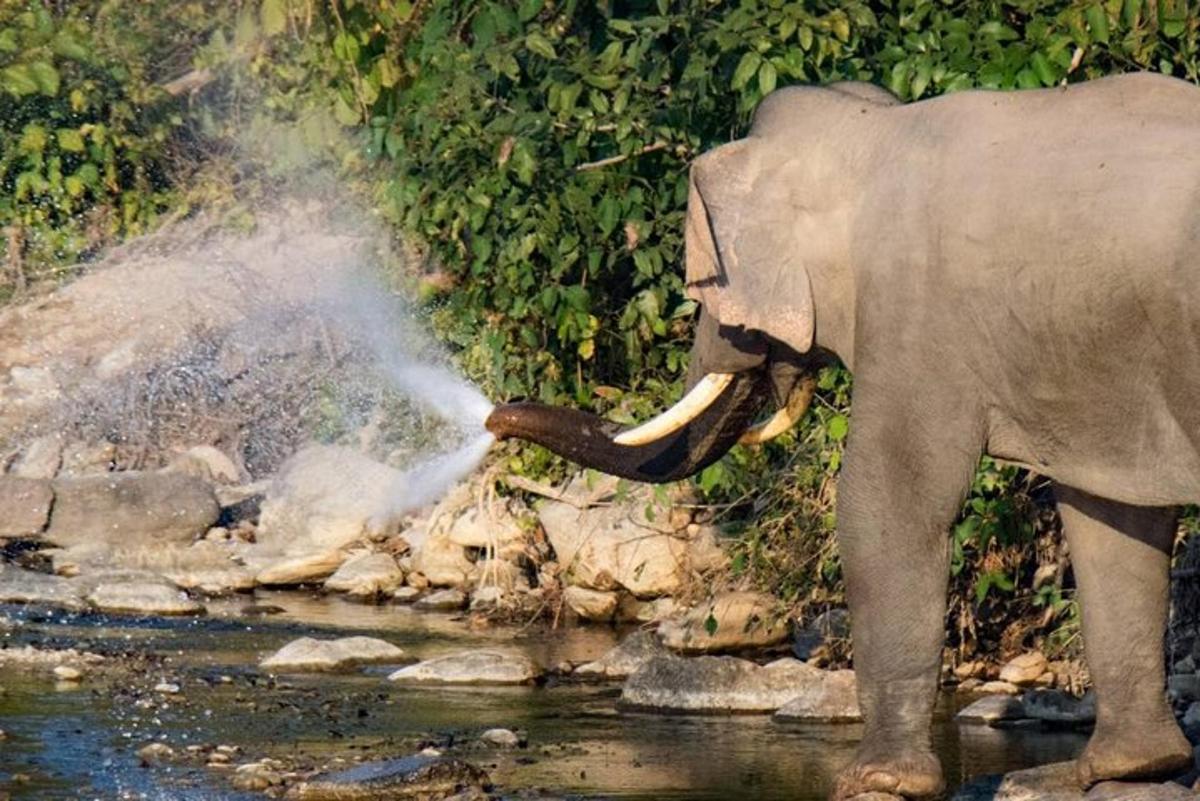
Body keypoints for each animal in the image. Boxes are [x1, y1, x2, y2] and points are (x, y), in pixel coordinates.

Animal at [484, 71, 1200, 796]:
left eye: (708, 289)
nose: (492, 419)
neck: (870, 132)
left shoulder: (913, 308)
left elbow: (889, 501)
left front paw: (873, 780)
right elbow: (1108, 512)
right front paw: (1121, 767)